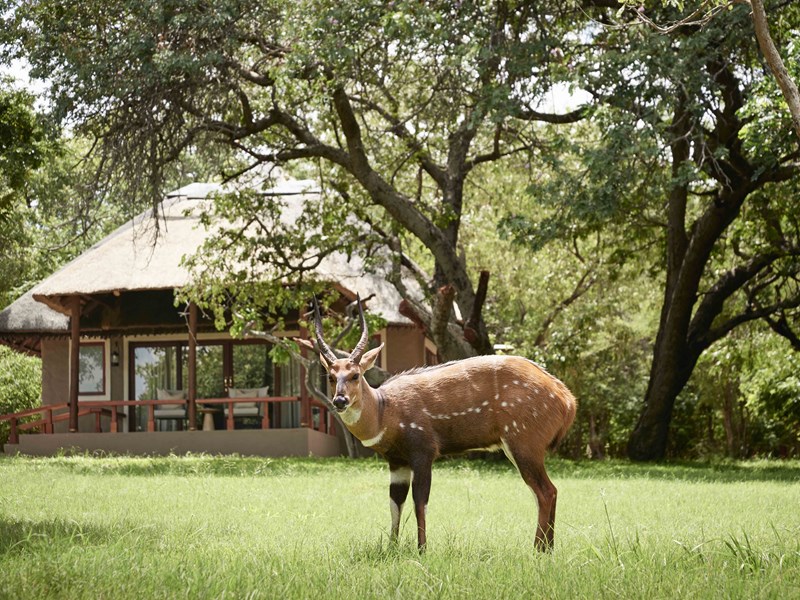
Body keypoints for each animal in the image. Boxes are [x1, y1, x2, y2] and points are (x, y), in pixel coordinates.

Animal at [312, 298, 576, 552]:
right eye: (331, 377)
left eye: (355, 375)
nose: (340, 400)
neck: (384, 412)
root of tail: (567, 400)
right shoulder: (397, 462)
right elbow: (395, 502)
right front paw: (391, 548)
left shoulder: (423, 451)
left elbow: (420, 501)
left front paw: (422, 550)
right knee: (550, 490)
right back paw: (548, 549)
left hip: (524, 443)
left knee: (544, 491)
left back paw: (537, 551)